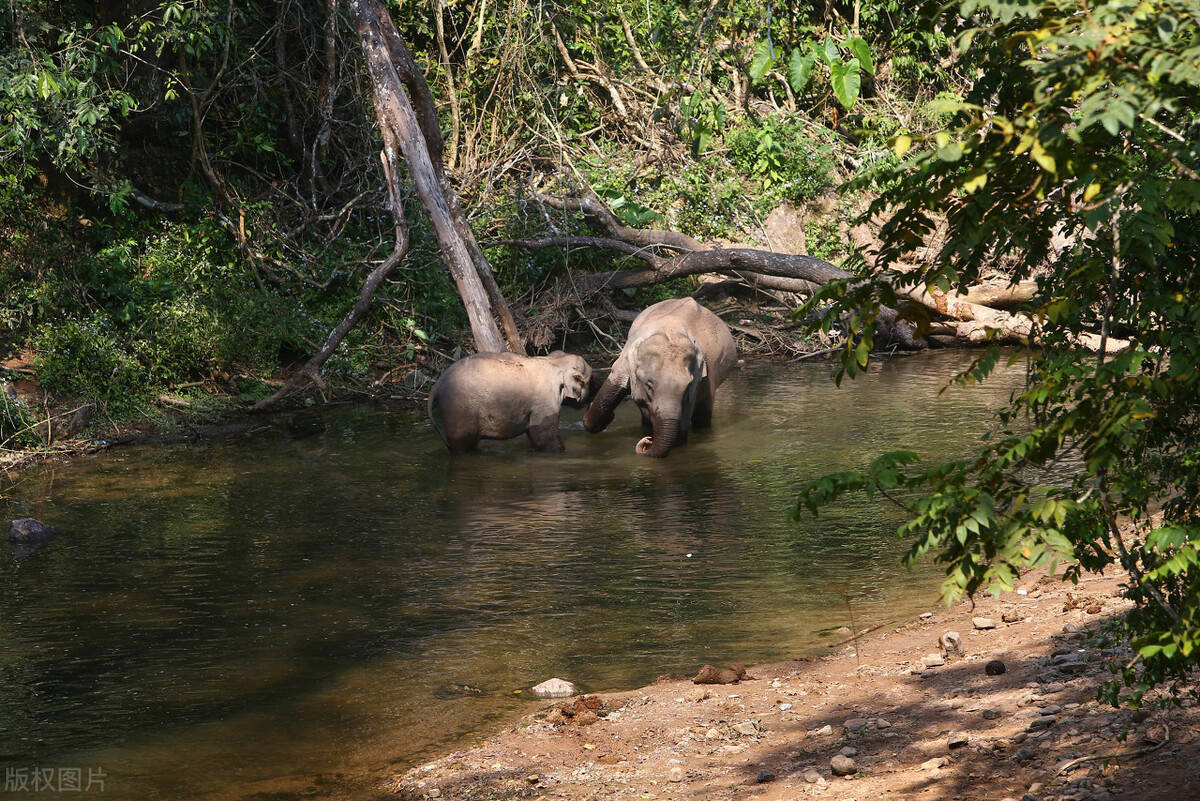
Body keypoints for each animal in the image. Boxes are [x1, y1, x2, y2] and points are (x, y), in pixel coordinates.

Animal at [427, 350, 593, 454]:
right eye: (590, 382)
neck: (555, 361)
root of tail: (436, 385)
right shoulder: (546, 399)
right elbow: (542, 435)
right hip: (459, 410)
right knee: (461, 445)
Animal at [583, 297, 737, 457]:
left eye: (686, 389)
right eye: (649, 385)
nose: (647, 441)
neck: (669, 332)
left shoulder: (698, 378)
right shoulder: (624, 359)